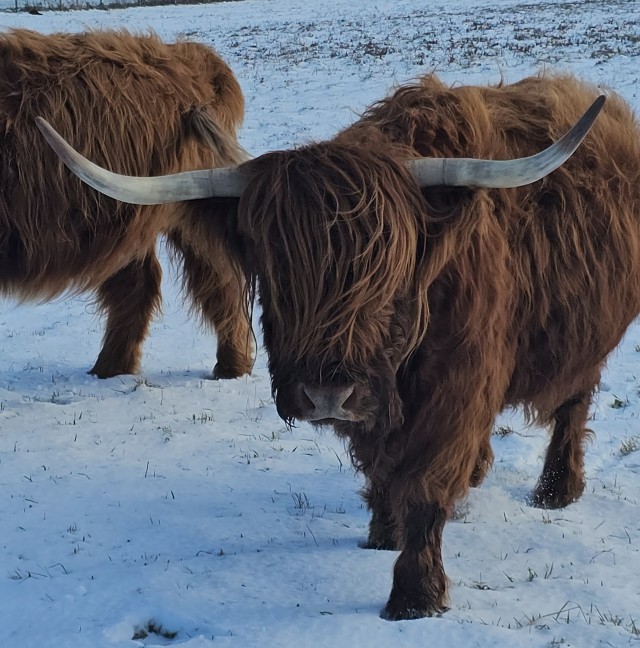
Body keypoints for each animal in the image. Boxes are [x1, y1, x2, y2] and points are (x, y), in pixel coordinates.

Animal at [0, 28, 252, 379]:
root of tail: (191, 56)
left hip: (188, 200)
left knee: (219, 276)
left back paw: (230, 367)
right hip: (129, 214)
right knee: (140, 283)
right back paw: (111, 368)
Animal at [37, 72, 631, 621]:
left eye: (386, 277)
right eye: (276, 274)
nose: (326, 396)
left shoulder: (455, 390)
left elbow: (425, 483)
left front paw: (414, 597)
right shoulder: (380, 405)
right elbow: (381, 469)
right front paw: (383, 533)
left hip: (588, 341)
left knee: (574, 404)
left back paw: (556, 489)